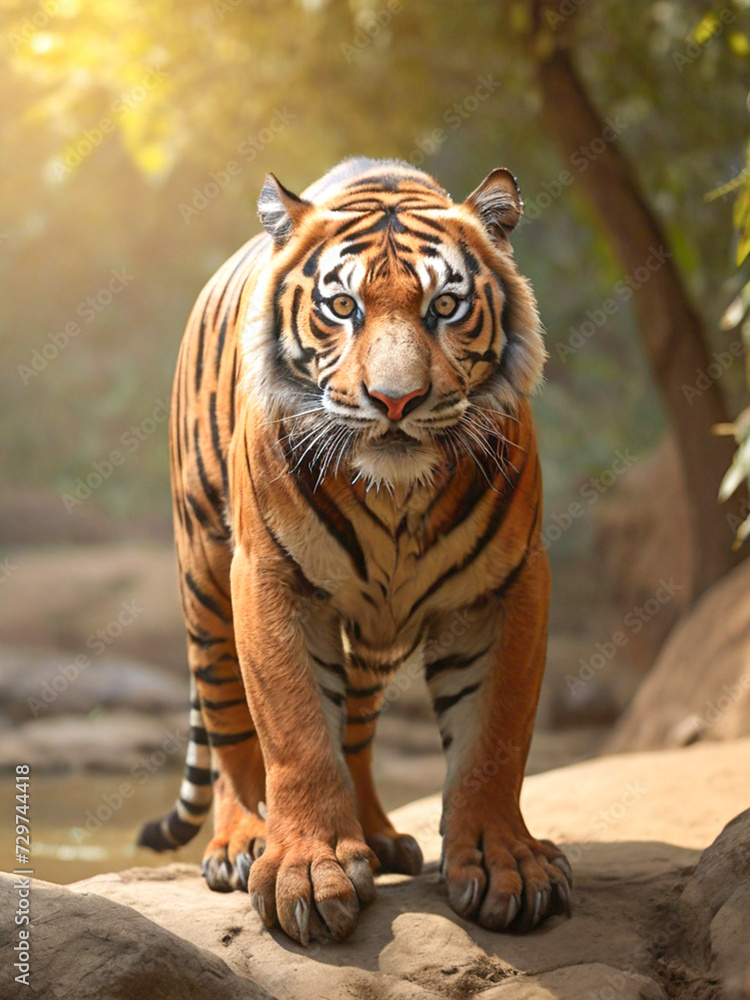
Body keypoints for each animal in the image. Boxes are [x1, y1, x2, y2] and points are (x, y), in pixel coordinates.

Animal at [138, 156, 572, 944]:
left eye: (444, 307)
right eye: (342, 307)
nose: (395, 401)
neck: (396, 496)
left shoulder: (509, 585)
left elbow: (494, 735)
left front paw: (507, 866)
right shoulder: (269, 578)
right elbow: (295, 728)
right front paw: (307, 870)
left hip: (373, 633)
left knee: (359, 730)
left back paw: (375, 834)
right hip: (206, 576)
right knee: (228, 723)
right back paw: (241, 841)